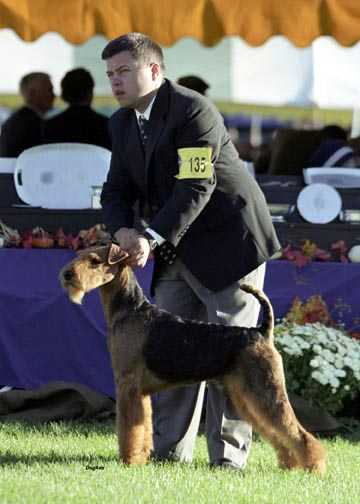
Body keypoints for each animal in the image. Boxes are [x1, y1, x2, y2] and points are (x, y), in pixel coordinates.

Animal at [59, 242, 326, 474]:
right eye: (81, 254)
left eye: (95, 261)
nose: (67, 275)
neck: (129, 310)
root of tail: (261, 331)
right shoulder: (140, 393)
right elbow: (142, 428)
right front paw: (141, 456)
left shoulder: (127, 386)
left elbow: (128, 430)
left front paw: (128, 460)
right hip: (245, 396)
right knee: (277, 433)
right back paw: (290, 464)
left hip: (265, 391)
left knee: (298, 432)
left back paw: (313, 466)